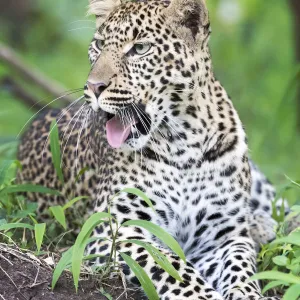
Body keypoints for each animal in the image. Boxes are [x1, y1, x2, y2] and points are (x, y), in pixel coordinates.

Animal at [17, 0, 284, 298]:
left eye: (140, 48)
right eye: (99, 44)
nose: (94, 87)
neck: (183, 142)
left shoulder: (225, 236)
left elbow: (241, 269)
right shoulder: (115, 231)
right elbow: (173, 269)